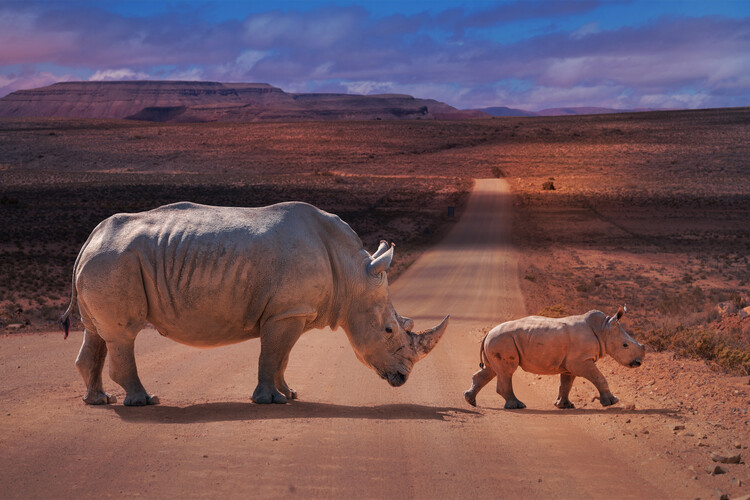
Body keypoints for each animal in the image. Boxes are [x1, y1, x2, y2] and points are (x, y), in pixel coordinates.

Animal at [60, 201, 449, 406]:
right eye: (389, 330)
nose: (402, 378)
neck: (353, 276)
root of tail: (91, 237)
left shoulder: (292, 311)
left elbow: (282, 357)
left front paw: (289, 394)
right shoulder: (286, 312)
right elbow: (272, 354)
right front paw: (269, 401)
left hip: (106, 260)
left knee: (96, 332)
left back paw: (99, 400)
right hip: (115, 260)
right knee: (123, 334)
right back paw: (144, 401)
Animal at [464, 307, 644, 409]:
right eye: (625, 345)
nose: (638, 362)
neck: (603, 329)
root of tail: (488, 332)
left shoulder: (572, 363)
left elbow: (566, 384)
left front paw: (564, 406)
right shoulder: (581, 361)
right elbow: (599, 377)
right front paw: (613, 402)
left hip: (497, 341)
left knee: (492, 370)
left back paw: (470, 400)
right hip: (502, 340)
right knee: (506, 371)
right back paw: (517, 406)